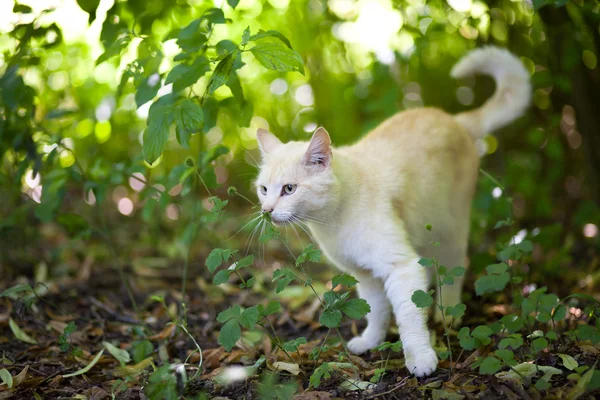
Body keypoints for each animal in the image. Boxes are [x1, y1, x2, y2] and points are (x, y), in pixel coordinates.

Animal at [253, 45, 528, 376]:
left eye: (289, 189)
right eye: (264, 189)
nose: (267, 210)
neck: (334, 220)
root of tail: (454, 119)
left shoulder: (401, 266)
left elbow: (409, 318)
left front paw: (420, 359)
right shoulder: (365, 275)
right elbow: (377, 312)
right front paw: (371, 342)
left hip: (450, 227)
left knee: (452, 268)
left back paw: (447, 315)